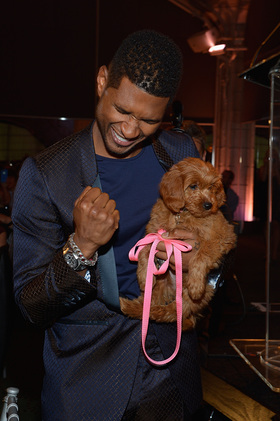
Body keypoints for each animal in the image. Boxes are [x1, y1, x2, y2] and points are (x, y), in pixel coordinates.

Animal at [120, 156, 236, 330]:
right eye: (193, 186)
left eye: (211, 187)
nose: (209, 205)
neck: (183, 214)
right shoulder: (155, 231)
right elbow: (145, 249)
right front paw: (143, 275)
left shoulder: (223, 237)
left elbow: (201, 254)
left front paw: (196, 285)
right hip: (160, 286)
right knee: (150, 304)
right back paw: (131, 306)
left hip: (202, 293)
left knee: (175, 312)